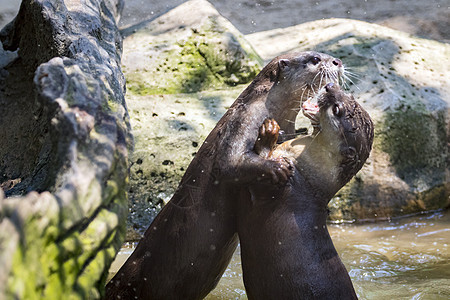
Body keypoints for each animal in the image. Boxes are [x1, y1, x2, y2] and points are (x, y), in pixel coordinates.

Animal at [105, 52, 344, 300]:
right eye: (315, 59)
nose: (337, 61)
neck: (268, 107)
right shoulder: (244, 120)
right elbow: (229, 163)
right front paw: (278, 168)